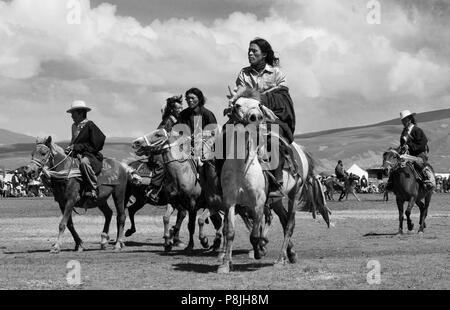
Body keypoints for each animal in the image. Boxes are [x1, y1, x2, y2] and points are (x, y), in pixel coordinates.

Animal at [216, 90, 328, 274]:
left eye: (259, 105)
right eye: (238, 105)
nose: (255, 116)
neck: (242, 167)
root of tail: (300, 150)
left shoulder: (258, 203)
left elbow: (255, 234)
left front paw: (260, 250)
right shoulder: (229, 201)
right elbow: (230, 232)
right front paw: (225, 264)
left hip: (294, 194)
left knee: (289, 224)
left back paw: (280, 259)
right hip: (275, 200)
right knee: (283, 220)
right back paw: (291, 254)